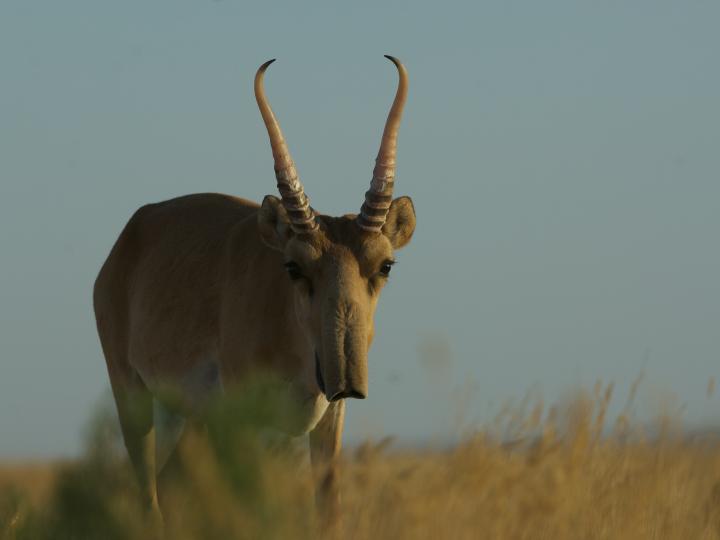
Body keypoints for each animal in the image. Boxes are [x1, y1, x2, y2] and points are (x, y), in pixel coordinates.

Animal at [93, 57, 416, 528]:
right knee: (147, 499)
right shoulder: (242, 419)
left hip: (186, 419)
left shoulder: (328, 420)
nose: (345, 378)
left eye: (385, 265)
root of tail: (128, 237)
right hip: (132, 397)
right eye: (294, 267)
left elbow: (328, 511)